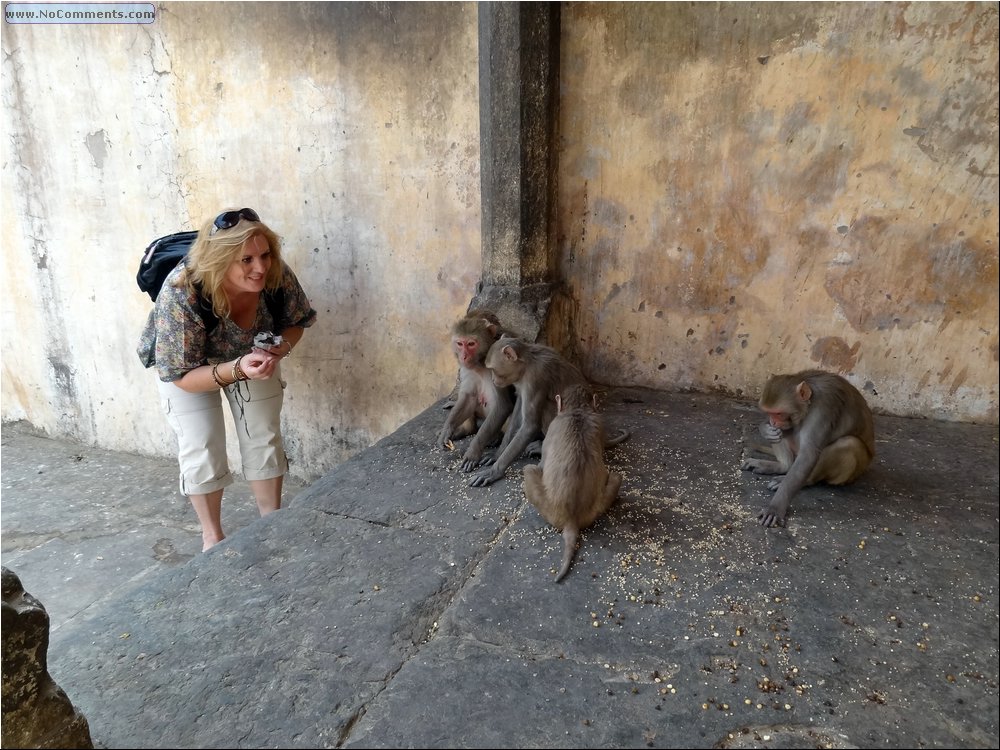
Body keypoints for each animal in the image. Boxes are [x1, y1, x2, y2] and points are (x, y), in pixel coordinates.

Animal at [438, 310, 516, 472]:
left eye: (471, 344)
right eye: (460, 343)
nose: (463, 356)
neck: (480, 364)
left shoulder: (498, 369)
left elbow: (502, 405)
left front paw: (473, 452)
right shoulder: (466, 369)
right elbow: (467, 397)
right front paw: (447, 430)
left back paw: (496, 437)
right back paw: (466, 430)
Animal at [520, 384, 620, 584]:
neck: (578, 410)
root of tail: (571, 519)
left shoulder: (554, 425)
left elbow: (541, 465)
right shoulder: (600, 422)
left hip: (550, 510)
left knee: (529, 470)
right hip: (596, 508)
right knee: (616, 477)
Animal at [744, 370, 876, 528]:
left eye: (779, 413)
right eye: (770, 413)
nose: (773, 421)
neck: (809, 403)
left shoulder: (823, 409)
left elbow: (809, 454)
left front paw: (775, 508)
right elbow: (779, 432)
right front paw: (766, 429)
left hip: (854, 472)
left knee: (849, 443)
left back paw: (805, 480)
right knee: (786, 432)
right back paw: (783, 466)